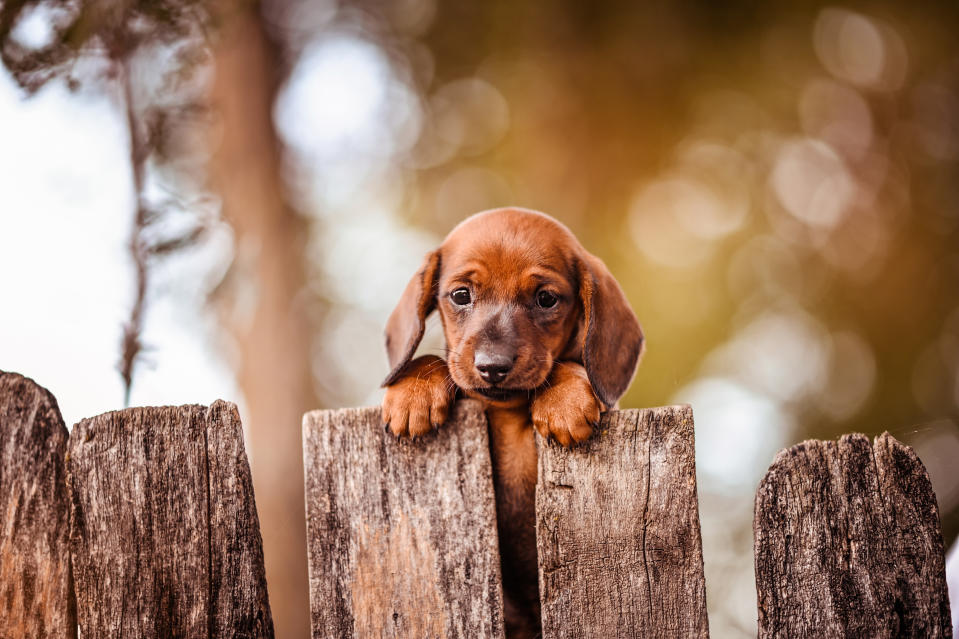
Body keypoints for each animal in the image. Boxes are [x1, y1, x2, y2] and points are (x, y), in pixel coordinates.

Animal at [378, 208, 640, 636]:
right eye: (461, 295)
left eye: (546, 299)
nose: (492, 366)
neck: (505, 415)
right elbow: (434, 360)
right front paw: (412, 392)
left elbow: (565, 366)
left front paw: (565, 398)